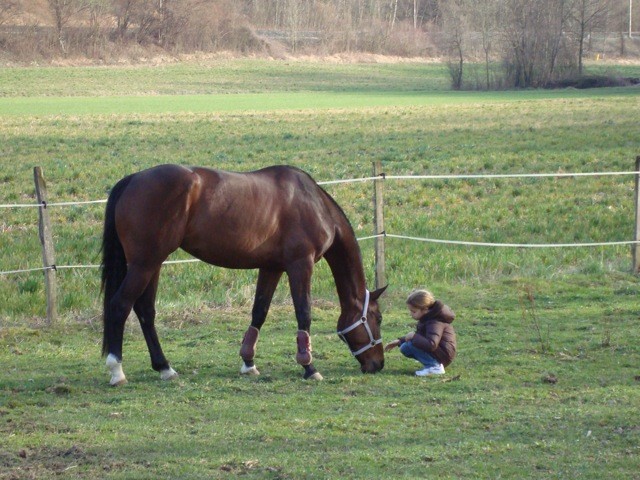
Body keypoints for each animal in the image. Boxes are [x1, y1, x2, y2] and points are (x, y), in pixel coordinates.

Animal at [101, 165, 384, 386]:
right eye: (378, 318)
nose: (378, 364)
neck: (313, 203)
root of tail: (133, 179)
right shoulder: (300, 265)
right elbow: (304, 313)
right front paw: (309, 367)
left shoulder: (271, 267)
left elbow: (259, 311)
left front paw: (249, 363)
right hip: (144, 264)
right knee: (120, 306)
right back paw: (117, 371)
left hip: (153, 264)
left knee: (145, 311)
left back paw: (164, 367)